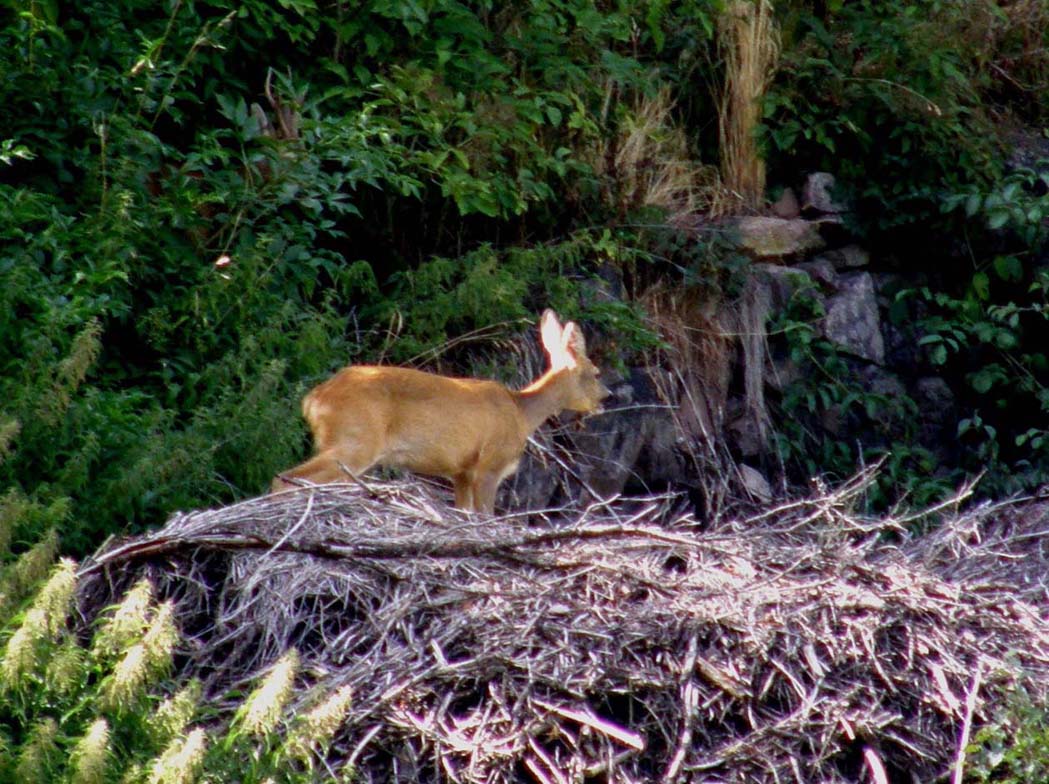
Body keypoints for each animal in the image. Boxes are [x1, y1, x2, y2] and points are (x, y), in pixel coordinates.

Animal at [274, 310, 612, 512]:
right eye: (596, 373)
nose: (606, 398)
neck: (521, 411)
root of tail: (314, 398)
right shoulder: (490, 465)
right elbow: (486, 517)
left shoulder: (461, 472)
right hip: (355, 441)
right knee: (285, 478)